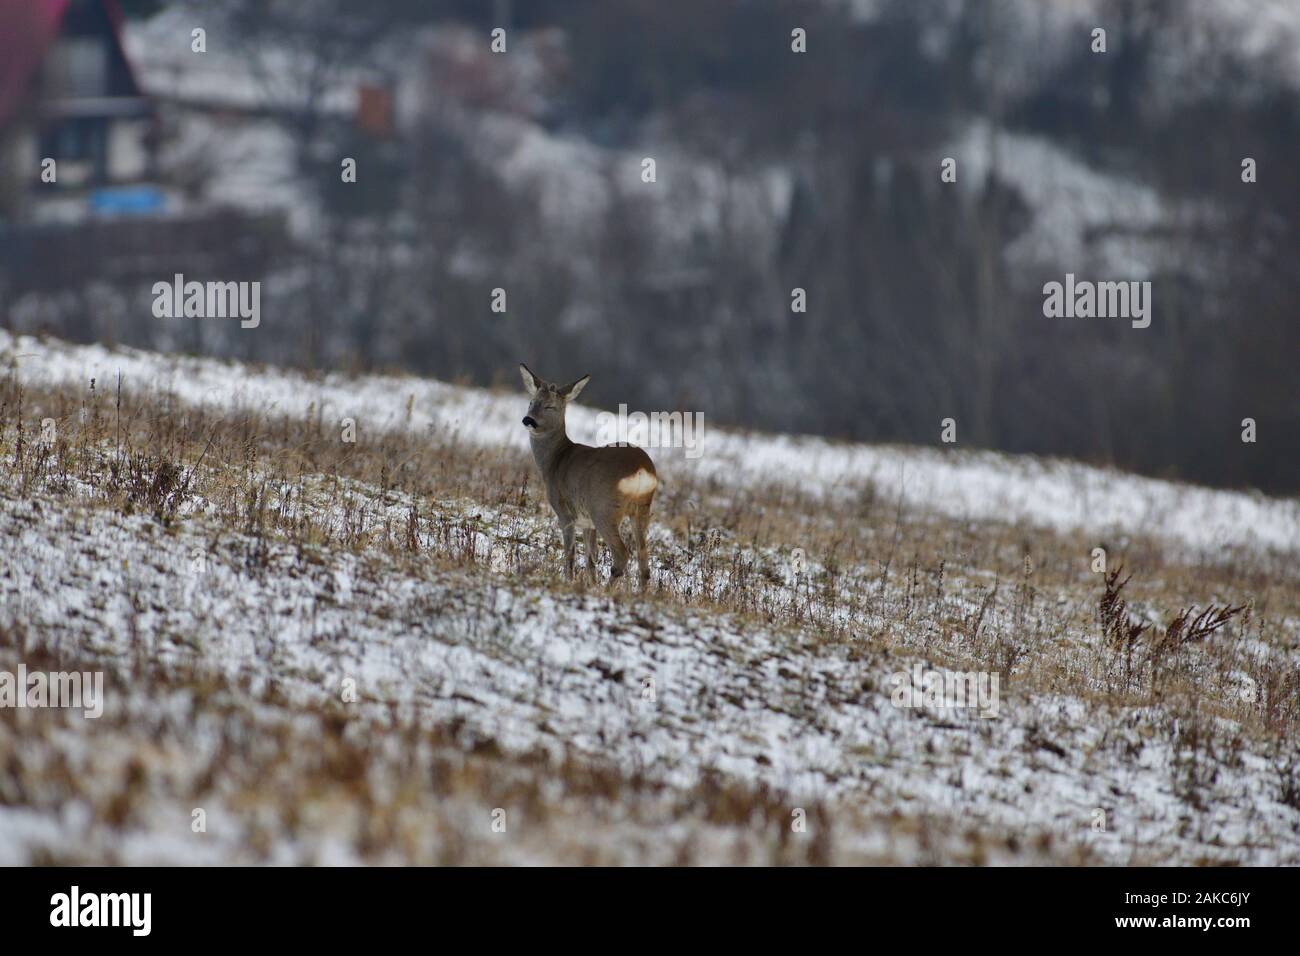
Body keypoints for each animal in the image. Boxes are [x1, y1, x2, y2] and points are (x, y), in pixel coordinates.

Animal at [519, 363, 657, 587]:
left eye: (550, 406)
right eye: (531, 402)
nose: (528, 420)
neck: (555, 461)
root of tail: (641, 470)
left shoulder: (565, 512)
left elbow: (571, 554)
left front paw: (570, 581)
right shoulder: (587, 523)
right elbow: (591, 558)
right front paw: (590, 584)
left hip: (604, 509)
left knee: (622, 554)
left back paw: (609, 590)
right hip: (642, 509)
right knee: (644, 561)